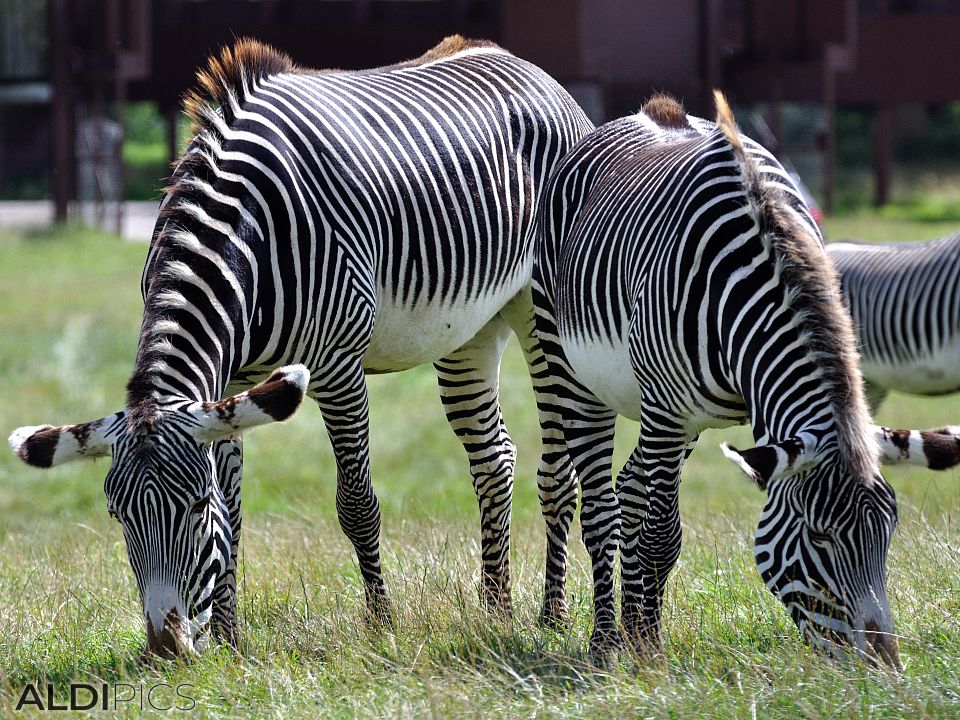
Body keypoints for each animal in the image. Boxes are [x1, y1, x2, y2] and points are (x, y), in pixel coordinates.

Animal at [9, 38, 592, 660]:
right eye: (117, 516)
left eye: (193, 506)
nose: (166, 649)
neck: (249, 240)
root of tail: (528, 68)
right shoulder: (231, 385)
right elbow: (236, 518)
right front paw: (230, 641)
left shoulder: (338, 368)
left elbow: (356, 505)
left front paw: (381, 626)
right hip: (469, 330)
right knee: (494, 459)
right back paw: (493, 611)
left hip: (539, 316)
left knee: (558, 471)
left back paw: (550, 616)